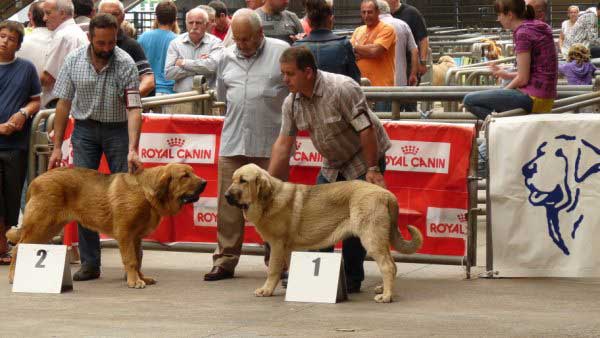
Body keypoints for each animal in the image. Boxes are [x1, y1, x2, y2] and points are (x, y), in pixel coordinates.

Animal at [7, 164, 206, 288]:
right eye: (185, 176)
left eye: (193, 172)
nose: (205, 182)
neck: (145, 192)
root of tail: (35, 180)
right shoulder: (125, 234)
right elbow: (131, 260)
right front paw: (134, 282)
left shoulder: (136, 237)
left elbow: (138, 259)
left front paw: (141, 277)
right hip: (41, 225)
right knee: (17, 248)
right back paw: (13, 276)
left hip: (50, 228)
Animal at [225, 162, 422, 302]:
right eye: (233, 179)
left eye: (243, 180)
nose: (226, 196)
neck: (268, 200)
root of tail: (386, 194)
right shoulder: (288, 248)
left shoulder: (277, 245)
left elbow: (273, 269)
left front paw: (266, 290)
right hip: (380, 239)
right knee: (392, 265)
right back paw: (384, 288)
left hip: (371, 238)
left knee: (387, 266)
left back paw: (386, 296)